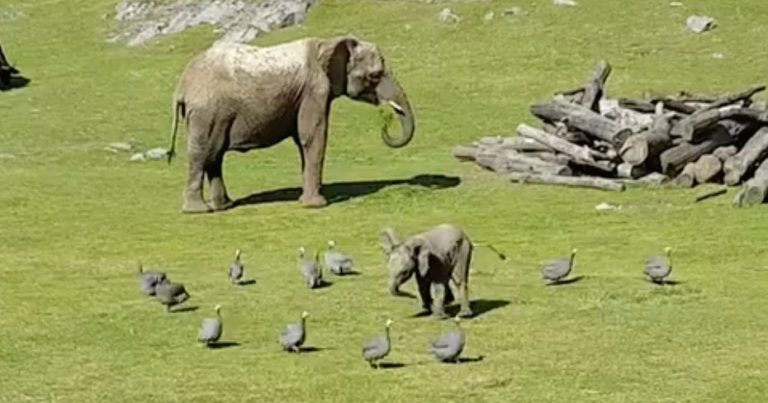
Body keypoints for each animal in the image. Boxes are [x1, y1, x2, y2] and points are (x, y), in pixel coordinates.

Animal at [166, 35, 416, 213]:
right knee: (202, 154)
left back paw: (224, 206)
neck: (327, 43)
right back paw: (198, 211)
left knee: (214, 156)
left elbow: (303, 140)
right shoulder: (314, 89)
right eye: (375, 75)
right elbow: (313, 136)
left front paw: (305, 199)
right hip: (207, 111)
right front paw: (316, 205)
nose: (385, 120)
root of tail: (182, 85)